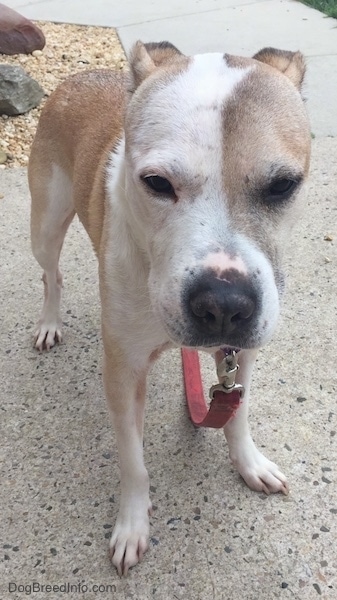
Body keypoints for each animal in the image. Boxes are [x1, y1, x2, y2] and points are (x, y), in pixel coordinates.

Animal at [28, 39, 310, 576]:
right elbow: (133, 462)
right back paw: (49, 322)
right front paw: (132, 525)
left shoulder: (243, 354)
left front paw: (248, 463)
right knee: (52, 274)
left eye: (284, 185)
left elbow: (236, 414)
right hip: (46, 224)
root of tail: (82, 76)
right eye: (157, 183)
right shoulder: (123, 371)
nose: (223, 304)